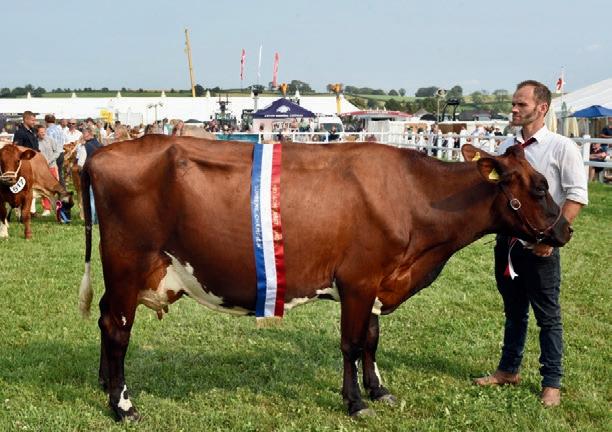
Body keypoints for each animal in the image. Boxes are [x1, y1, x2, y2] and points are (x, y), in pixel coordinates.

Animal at [77, 136, 572, 421]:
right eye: (539, 187)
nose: (565, 230)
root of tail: (100, 151)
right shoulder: (358, 280)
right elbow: (351, 343)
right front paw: (355, 403)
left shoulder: (376, 281)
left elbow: (372, 339)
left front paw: (379, 390)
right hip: (126, 261)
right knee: (118, 329)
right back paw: (123, 406)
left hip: (122, 272)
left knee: (104, 318)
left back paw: (104, 384)